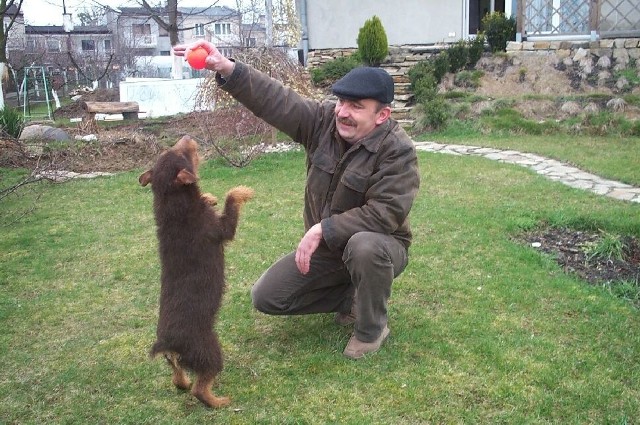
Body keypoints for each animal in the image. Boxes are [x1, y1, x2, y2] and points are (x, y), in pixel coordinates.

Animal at [139, 134, 254, 406]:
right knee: (200, 389)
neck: (172, 206)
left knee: (177, 374)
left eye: (170, 150)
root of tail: (167, 342)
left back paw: (183, 383)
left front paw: (209, 197)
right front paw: (243, 190)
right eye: (183, 154)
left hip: (176, 359)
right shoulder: (221, 229)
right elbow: (231, 198)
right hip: (210, 352)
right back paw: (220, 402)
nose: (188, 137)